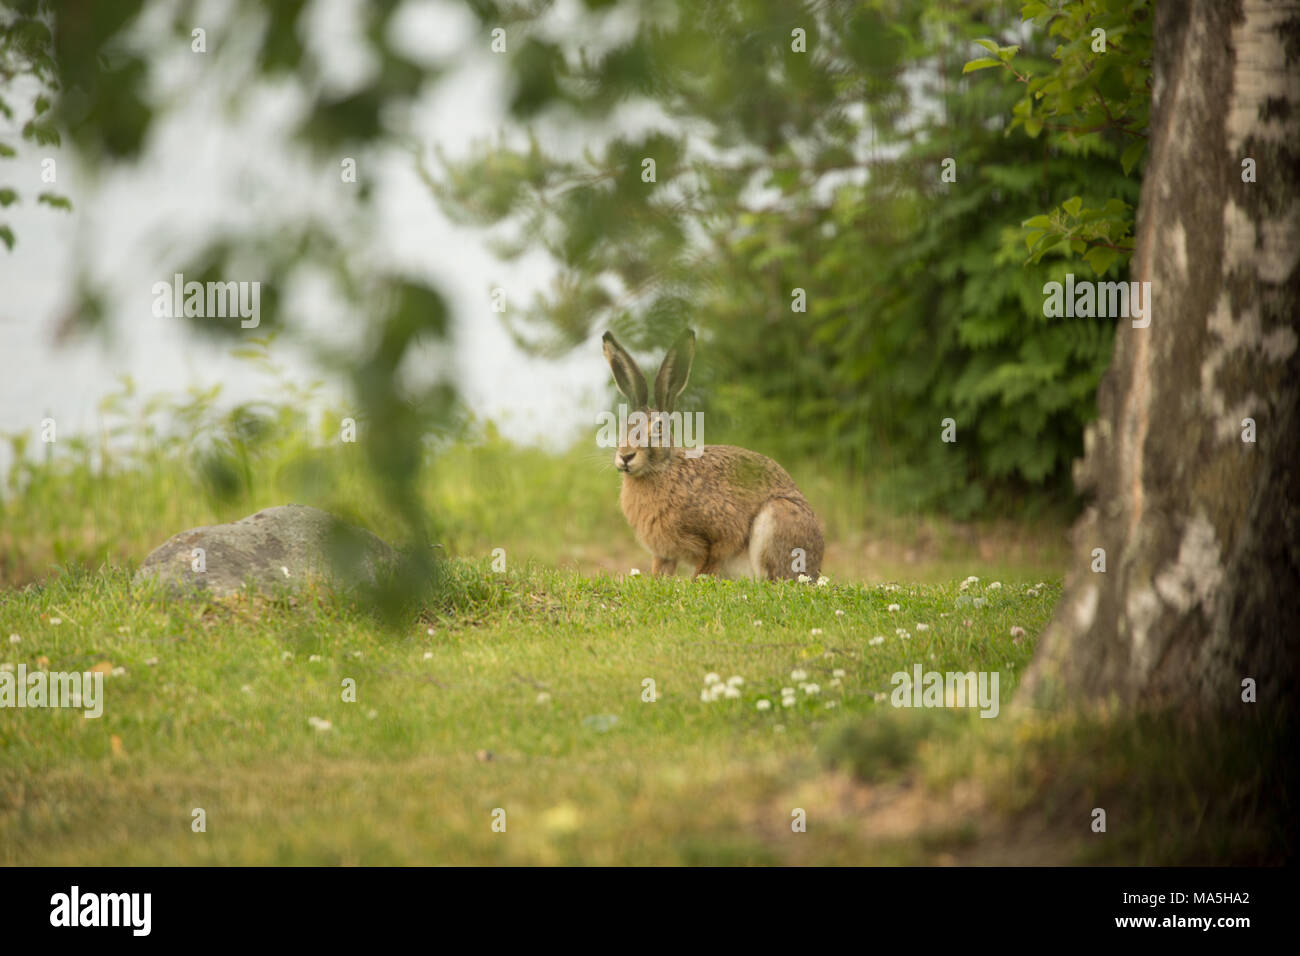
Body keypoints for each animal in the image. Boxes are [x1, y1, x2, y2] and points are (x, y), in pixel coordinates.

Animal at [602, 328, 824, 581]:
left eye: (658, 428)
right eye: (623, 426)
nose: (626, 456)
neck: (663, 470)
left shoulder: (719, 536)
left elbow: (708, 565)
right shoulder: (664, 554)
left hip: (775, 519)